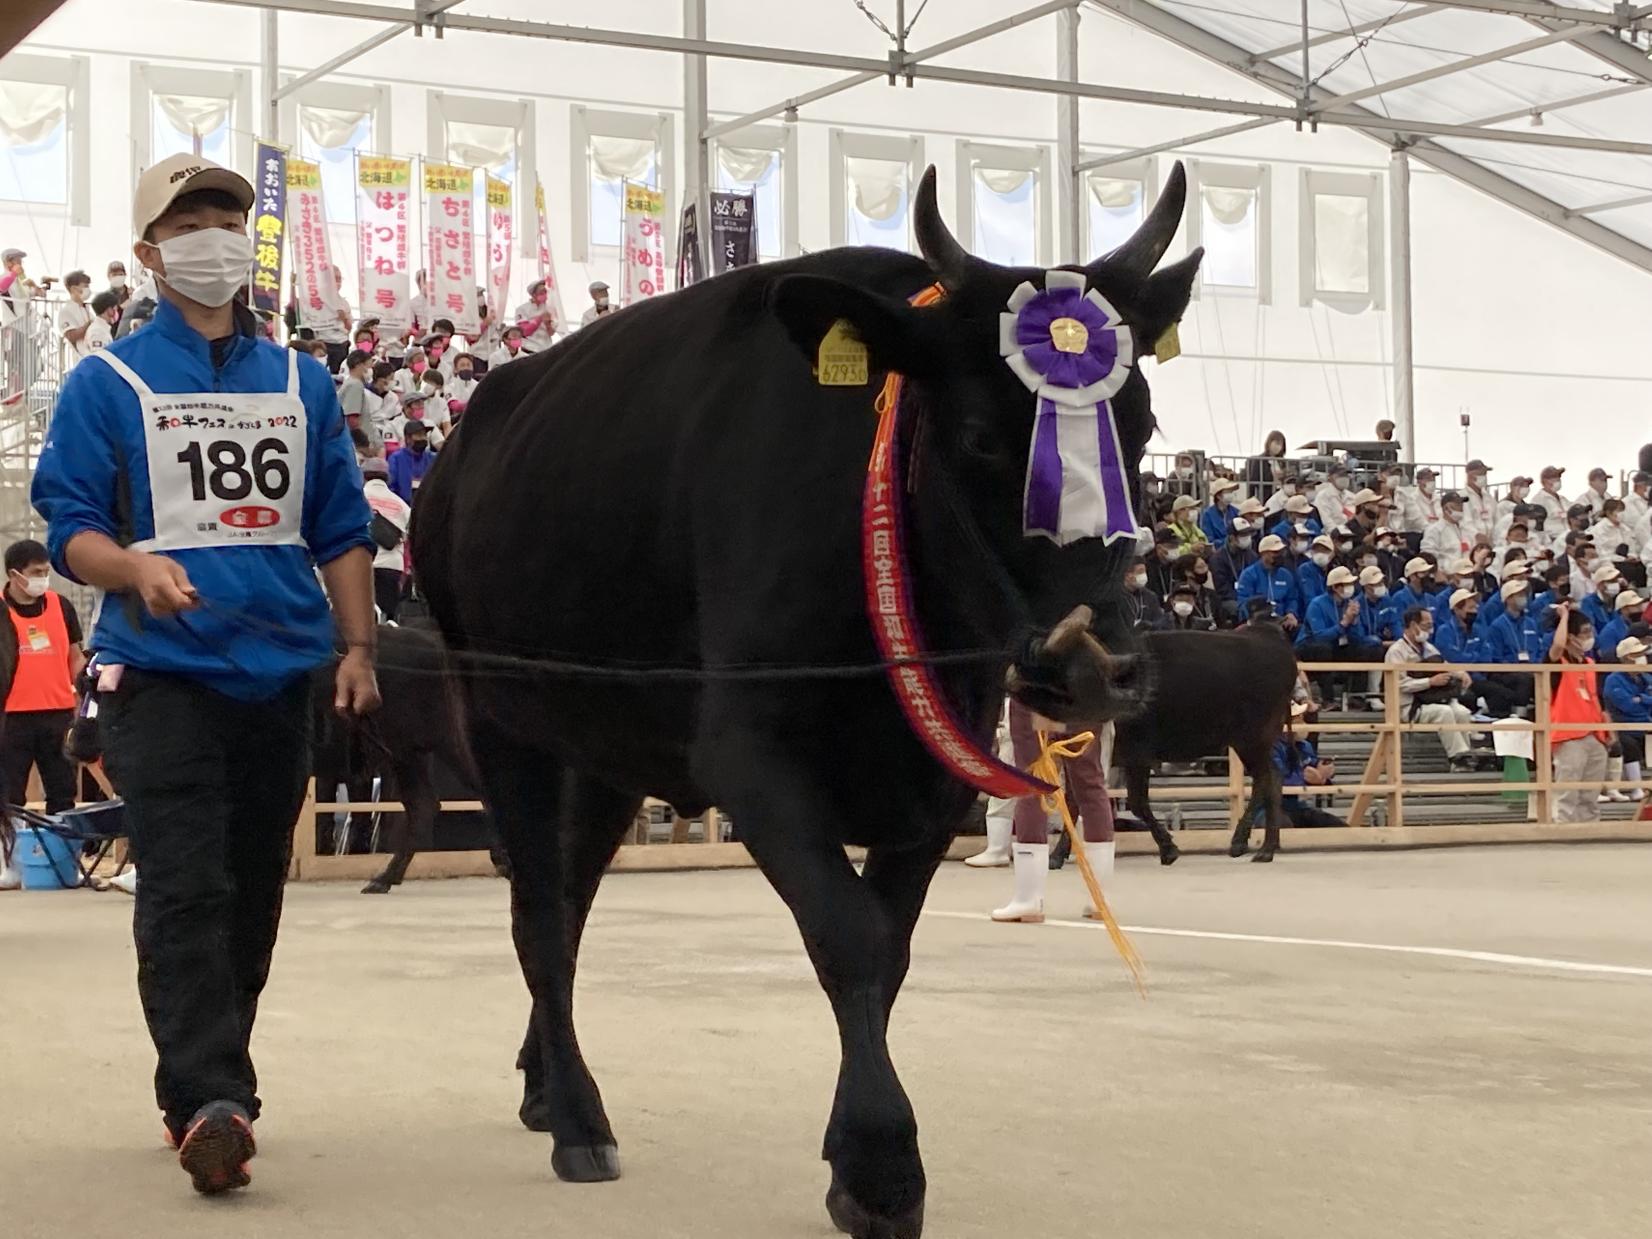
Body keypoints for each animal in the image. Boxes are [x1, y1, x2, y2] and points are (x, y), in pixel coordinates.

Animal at [406, 167, 1196, 1239]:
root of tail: (462, 447)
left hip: (609, 748)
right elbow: (849, 934)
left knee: (567, 904)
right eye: (981, 437)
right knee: (535, 910)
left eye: (1140, 429)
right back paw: (577, 1116)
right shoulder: (754, 756)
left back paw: (541, 1082)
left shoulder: (933, 783)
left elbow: (889, 948)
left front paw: (850, 1146)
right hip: (500, 719)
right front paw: (881, 1165)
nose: (1101, 665)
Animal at [1110, 631, 1301, 865]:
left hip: (1252, 740)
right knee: (1273, 778)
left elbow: (1137, 802)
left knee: (1265, 779)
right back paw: (1266, 848)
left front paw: (1168, 849)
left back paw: (1241, 843)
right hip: (1252, 744)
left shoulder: (1138, 754)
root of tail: (1270, 636)